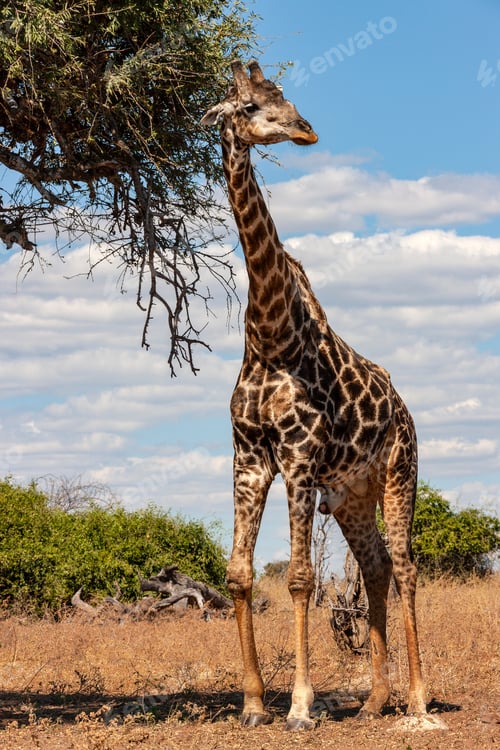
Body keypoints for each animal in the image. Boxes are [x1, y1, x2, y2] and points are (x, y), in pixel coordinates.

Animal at [202, 60, 439, 731]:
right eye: (249, 106)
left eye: (285, 98)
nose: (306, 130)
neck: (269, 334)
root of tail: (407, 412)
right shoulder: (250, 457)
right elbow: (238, 573)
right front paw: (254, 704)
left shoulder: (299, 456)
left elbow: (302, 578)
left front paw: (301, 707)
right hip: (354, 496)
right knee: (376, 567)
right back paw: (375, 700)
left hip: (400, 472)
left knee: (406, 566)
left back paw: (416, 698)